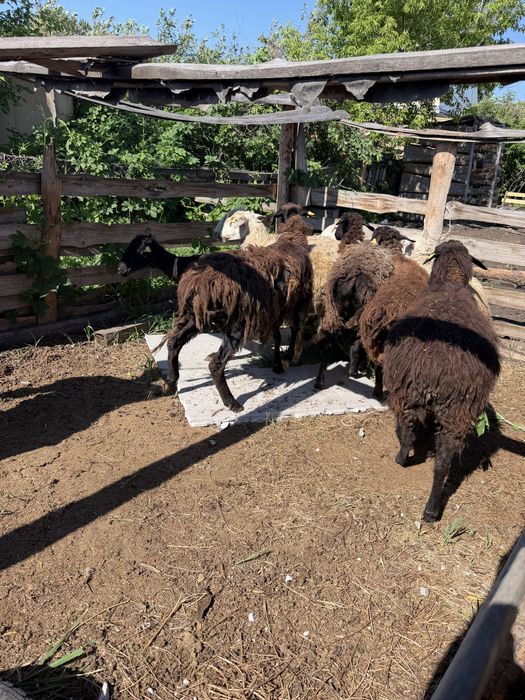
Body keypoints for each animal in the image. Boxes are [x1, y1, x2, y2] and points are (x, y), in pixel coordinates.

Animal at [163, 206, 313, 413]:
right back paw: (232, 403)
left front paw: (278, 364)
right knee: (216, 364)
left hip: (195, 315)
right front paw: (287, 357)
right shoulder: (294, 304)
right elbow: (293, 330)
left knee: (173, 342)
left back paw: (172, 379)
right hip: (236, 324)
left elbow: (277, 336)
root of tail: (198, 281)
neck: (291, 239)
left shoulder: (274, 309)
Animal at [383, 240, 500, 522]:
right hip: (453, 407)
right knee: (435, 455)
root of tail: (434, 364)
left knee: (412, 438)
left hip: (418, 396)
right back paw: (430, 506)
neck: (450, 284)